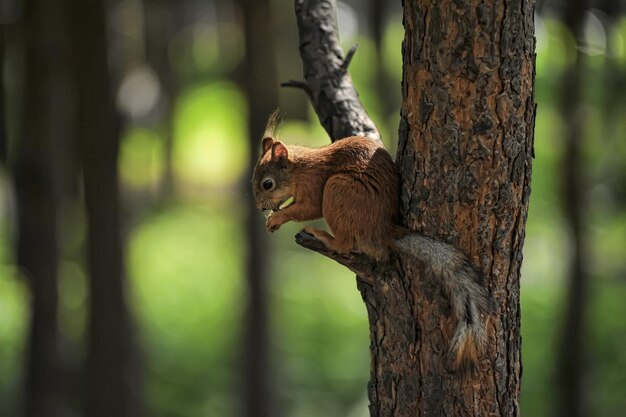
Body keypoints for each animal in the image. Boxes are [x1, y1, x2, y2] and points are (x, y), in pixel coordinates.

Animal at [251, 120, 486, 368]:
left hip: (338, 189)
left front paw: (277, 218)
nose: (260, 207)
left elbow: (308, 209)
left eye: (267, 184)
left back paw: (323, 235)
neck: (299, 169)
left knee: (344, 245)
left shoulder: (313, 185)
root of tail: (382, 230)